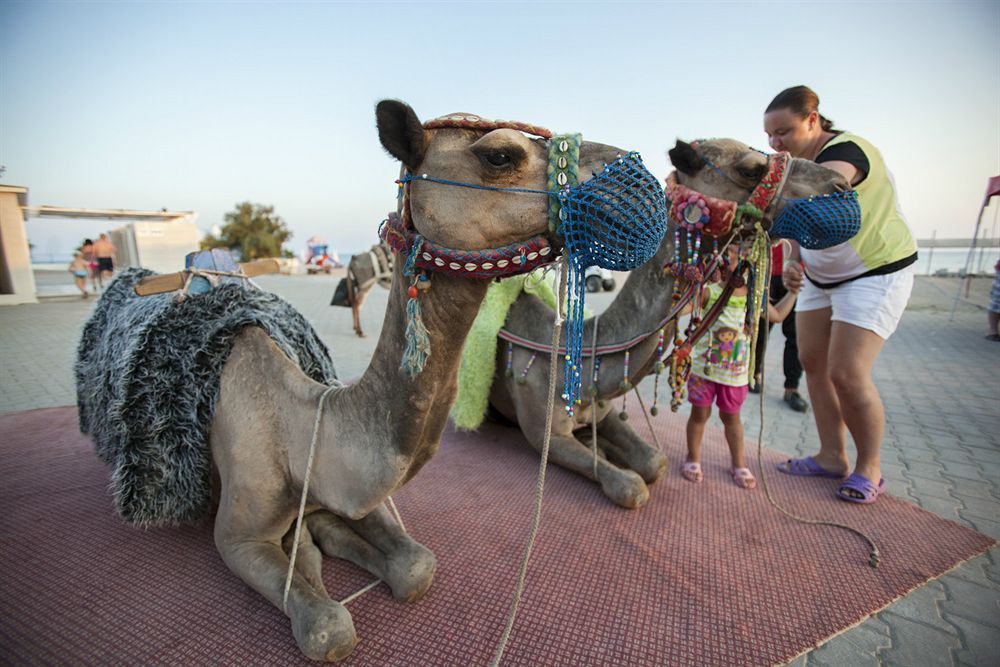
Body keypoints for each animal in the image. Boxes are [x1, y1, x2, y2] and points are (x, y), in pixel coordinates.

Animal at [74, 100, 668, 664]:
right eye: (499, 155)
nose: (639, 180)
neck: (302, 425)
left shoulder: (355, 492)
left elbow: (415, 565)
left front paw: (326, 539)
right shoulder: (238, 535)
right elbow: (328, 627)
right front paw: (311, 564)